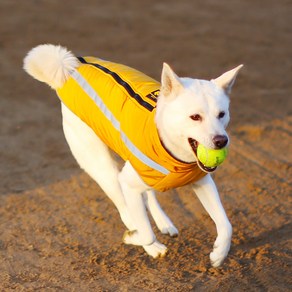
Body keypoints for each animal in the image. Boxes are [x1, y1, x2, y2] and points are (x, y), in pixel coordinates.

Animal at [22, 44, 243, 268]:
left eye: (222, 114)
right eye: (195, 117)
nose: (221, 141)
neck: (170, 151)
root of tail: (71, 68)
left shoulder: (202, 181)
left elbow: (227, 225)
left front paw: (219, 254)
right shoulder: (128, 183)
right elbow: (146, 232)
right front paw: (135, 239)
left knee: (148, 195)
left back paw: (164, 222)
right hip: (104, 170)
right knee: (126, 211)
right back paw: (147, 240)